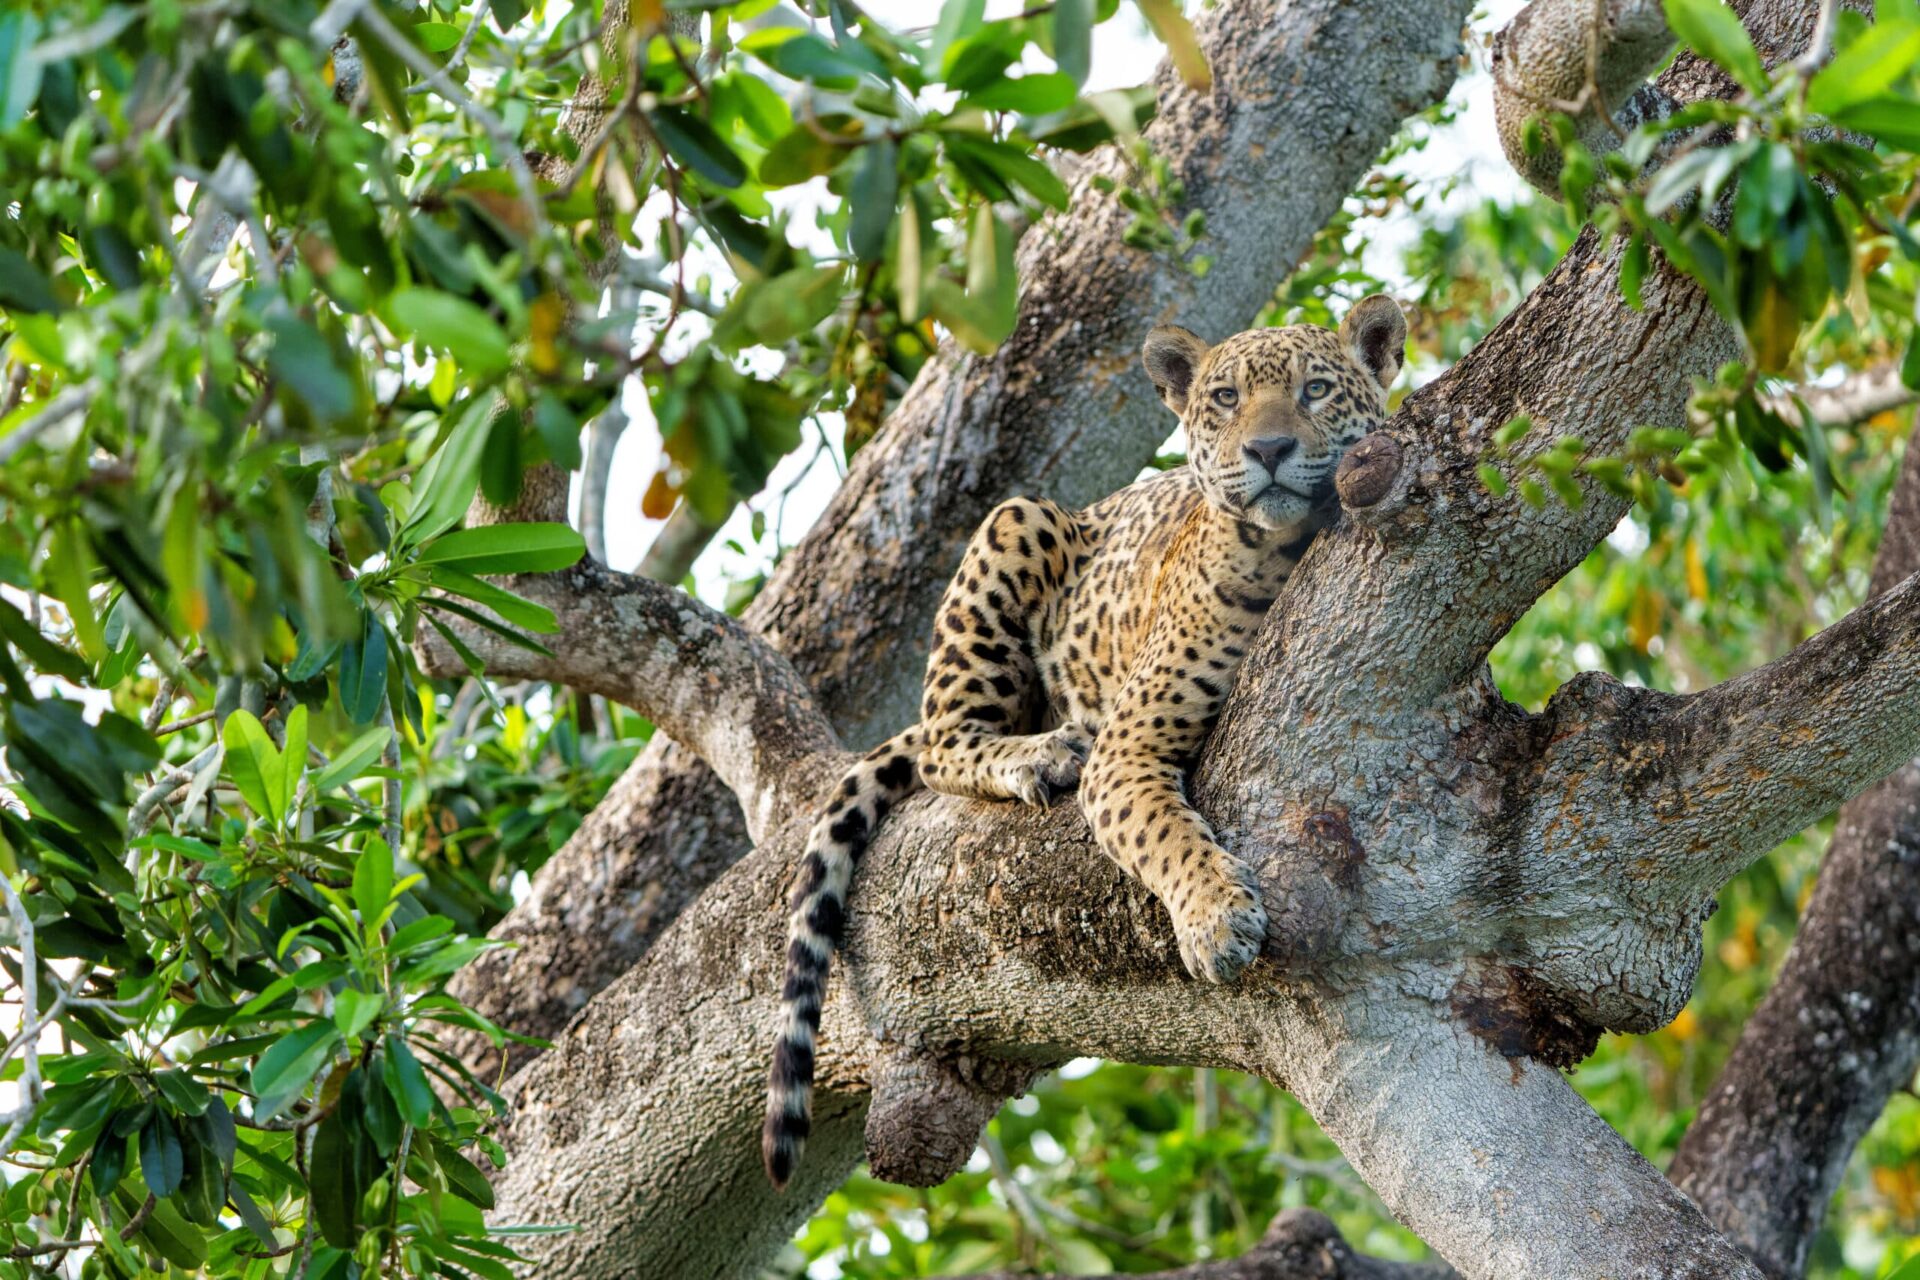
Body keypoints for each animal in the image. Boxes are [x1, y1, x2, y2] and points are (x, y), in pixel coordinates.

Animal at [763, 294, 1408, 1189]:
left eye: (1315, 390)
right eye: (1225, 399)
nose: (1269, 449)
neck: (1286, 552)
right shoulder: (1126, 751)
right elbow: (1167, 836)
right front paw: (1216, 921)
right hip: (1016, 522)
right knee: (941, 740)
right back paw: (1040, 751)